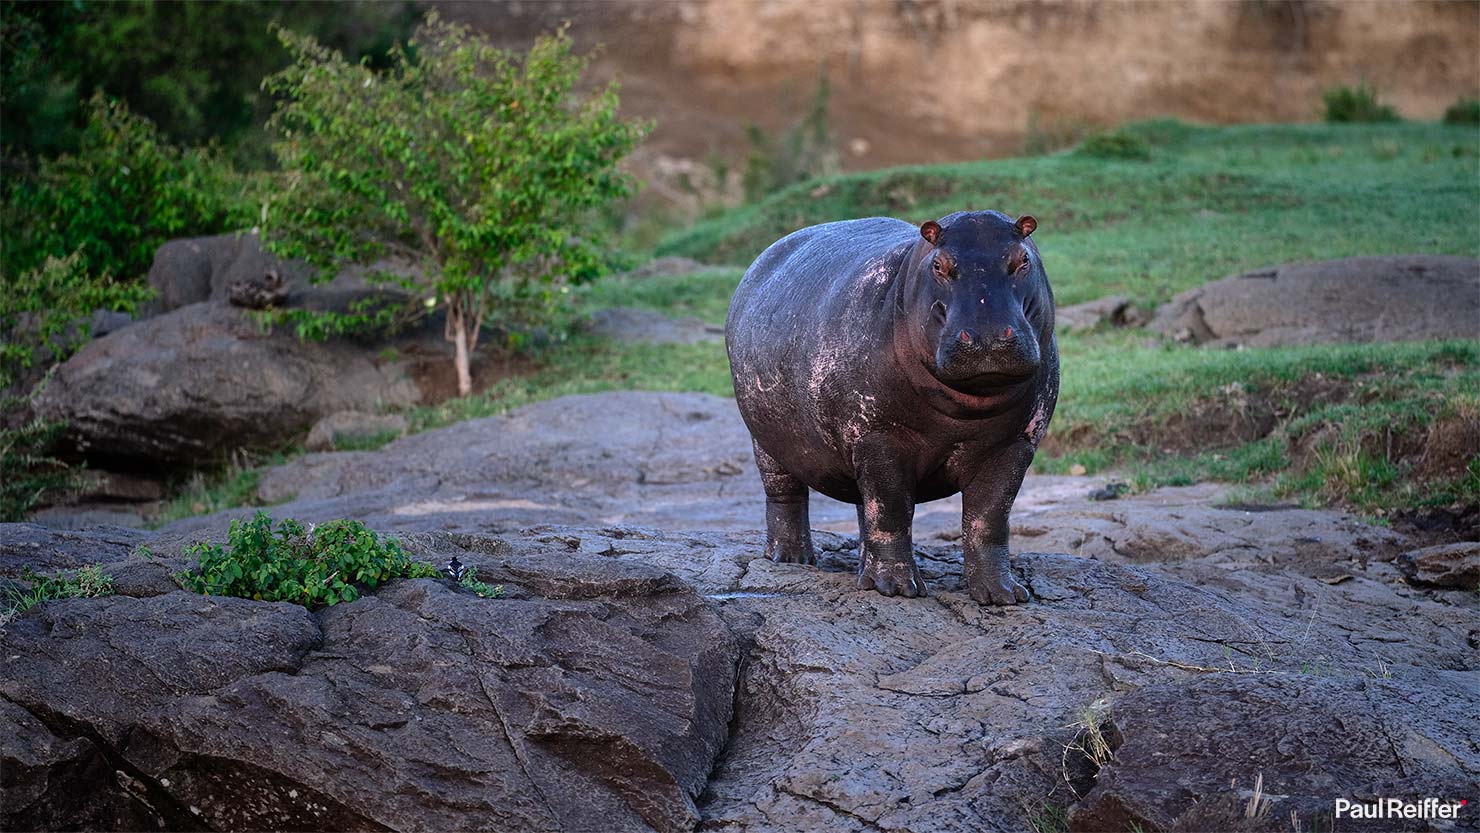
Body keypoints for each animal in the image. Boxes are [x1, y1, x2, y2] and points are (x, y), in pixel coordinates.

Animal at [726, 210, 1058, 604]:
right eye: (939, 266)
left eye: (1023, 260)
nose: (987, 336)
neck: (967, 406)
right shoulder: (878, 438)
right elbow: (891, 509)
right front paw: (897, 590)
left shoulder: (1015, 444)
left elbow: (989, 518)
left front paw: (1003, 595)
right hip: (768, 439)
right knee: (785, 493)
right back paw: (791, 558)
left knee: (862, 506)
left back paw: (860, 569)